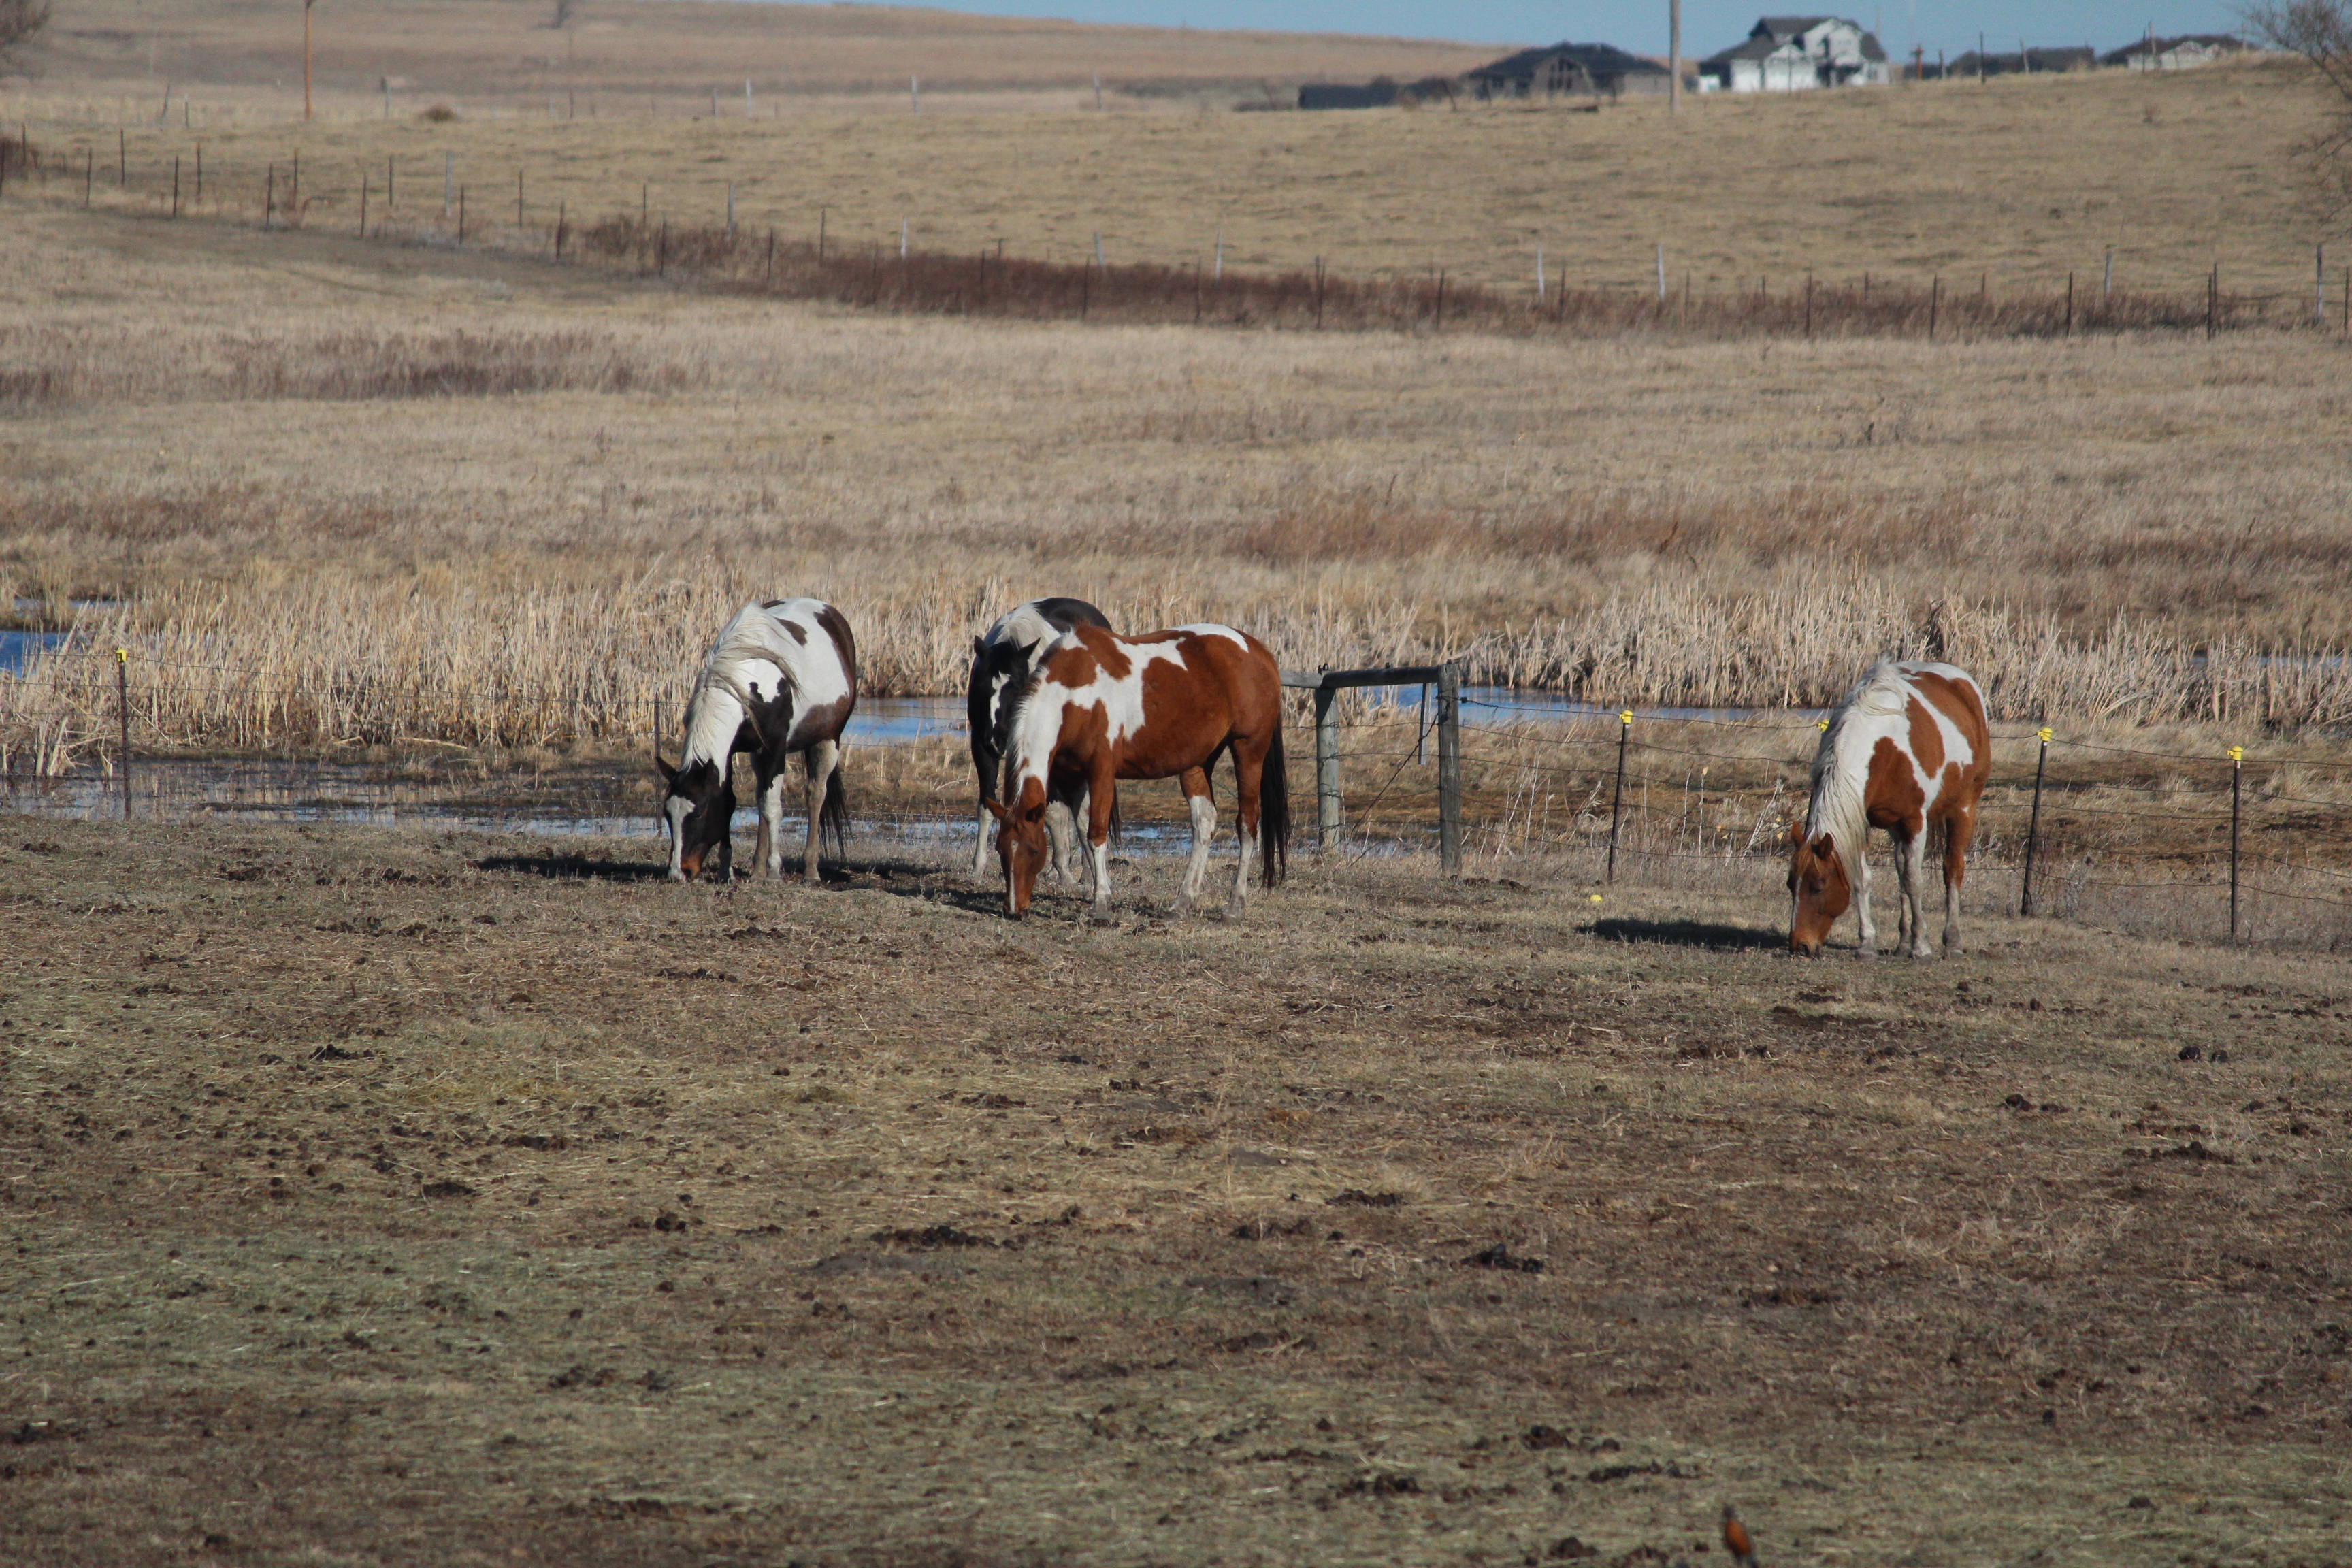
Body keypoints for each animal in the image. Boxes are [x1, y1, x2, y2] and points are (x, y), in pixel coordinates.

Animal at [656, 598, 857, 884]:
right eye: (667, 813)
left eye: (699, 813)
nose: (678, 873)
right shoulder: (729, 753)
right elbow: (731, 801)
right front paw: (726, 870)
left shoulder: (775, 750)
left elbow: (773, 807)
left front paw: (774, 872)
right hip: (758, 754)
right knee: (763, 795)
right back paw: (757, 870)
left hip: (829, 739)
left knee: (815, 795)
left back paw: (810, 871)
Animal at [966, 597, 1114, 881]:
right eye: (981, 686)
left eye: (1015, 687)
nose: (998, 741)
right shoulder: (980, 745)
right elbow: (986, 804)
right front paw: (978, 866)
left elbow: (1055, 811)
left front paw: (1064, 869)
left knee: (1085, 811)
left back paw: (1086, 872)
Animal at [987, 622, 1289, 921]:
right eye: (1001, 849)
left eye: (1034, 850)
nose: (1013, 909)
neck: (1076, 695)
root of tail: (1257, 650)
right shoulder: (1072, 777)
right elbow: (1084, 832)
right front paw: (1102, 891)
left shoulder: (1102, 771)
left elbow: (1096, 834)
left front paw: (1100, 906)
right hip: (1198, 762)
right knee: (1204, 822)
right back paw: (1182, 902)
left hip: (1248, 751)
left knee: (1247, 824)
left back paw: (1234, 906)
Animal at [1788, 659, 1990, 958]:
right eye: (1791, 884)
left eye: (1818, 886)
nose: (1800, 945)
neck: (1884, 748)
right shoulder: (1859, 819)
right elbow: (1864, 879)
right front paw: (1867, 944)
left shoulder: (1915, 821)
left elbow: (1914, 880)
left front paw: (1921, 947)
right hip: (1896, 827)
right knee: (1900, 869)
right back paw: (1903, 941)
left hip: (1963, 808)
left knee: (1952, 870)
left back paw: (1952, 942)